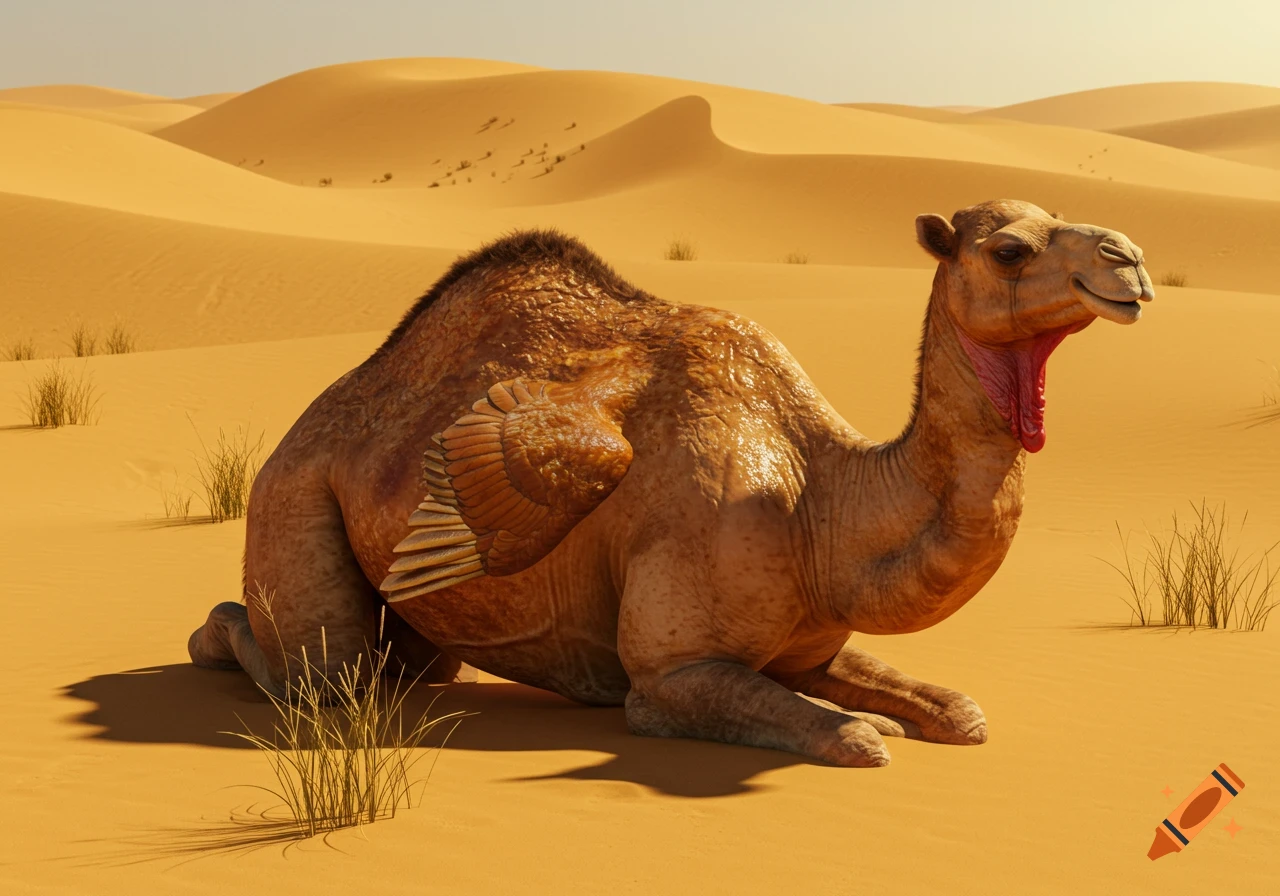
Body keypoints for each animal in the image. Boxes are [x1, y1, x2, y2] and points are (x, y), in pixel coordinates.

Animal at [189, 199, 1153, 767]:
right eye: (1009, 250)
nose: (1131, 260)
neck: (816, 498)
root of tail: (306, 422)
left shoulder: (813, 643)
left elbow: (958, 709)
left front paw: (919, 712)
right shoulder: (669, 671)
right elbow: (848, 735)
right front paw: (868, 729)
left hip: (417, 626)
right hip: (291, 496)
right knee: (324, 671)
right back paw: (214, 634)